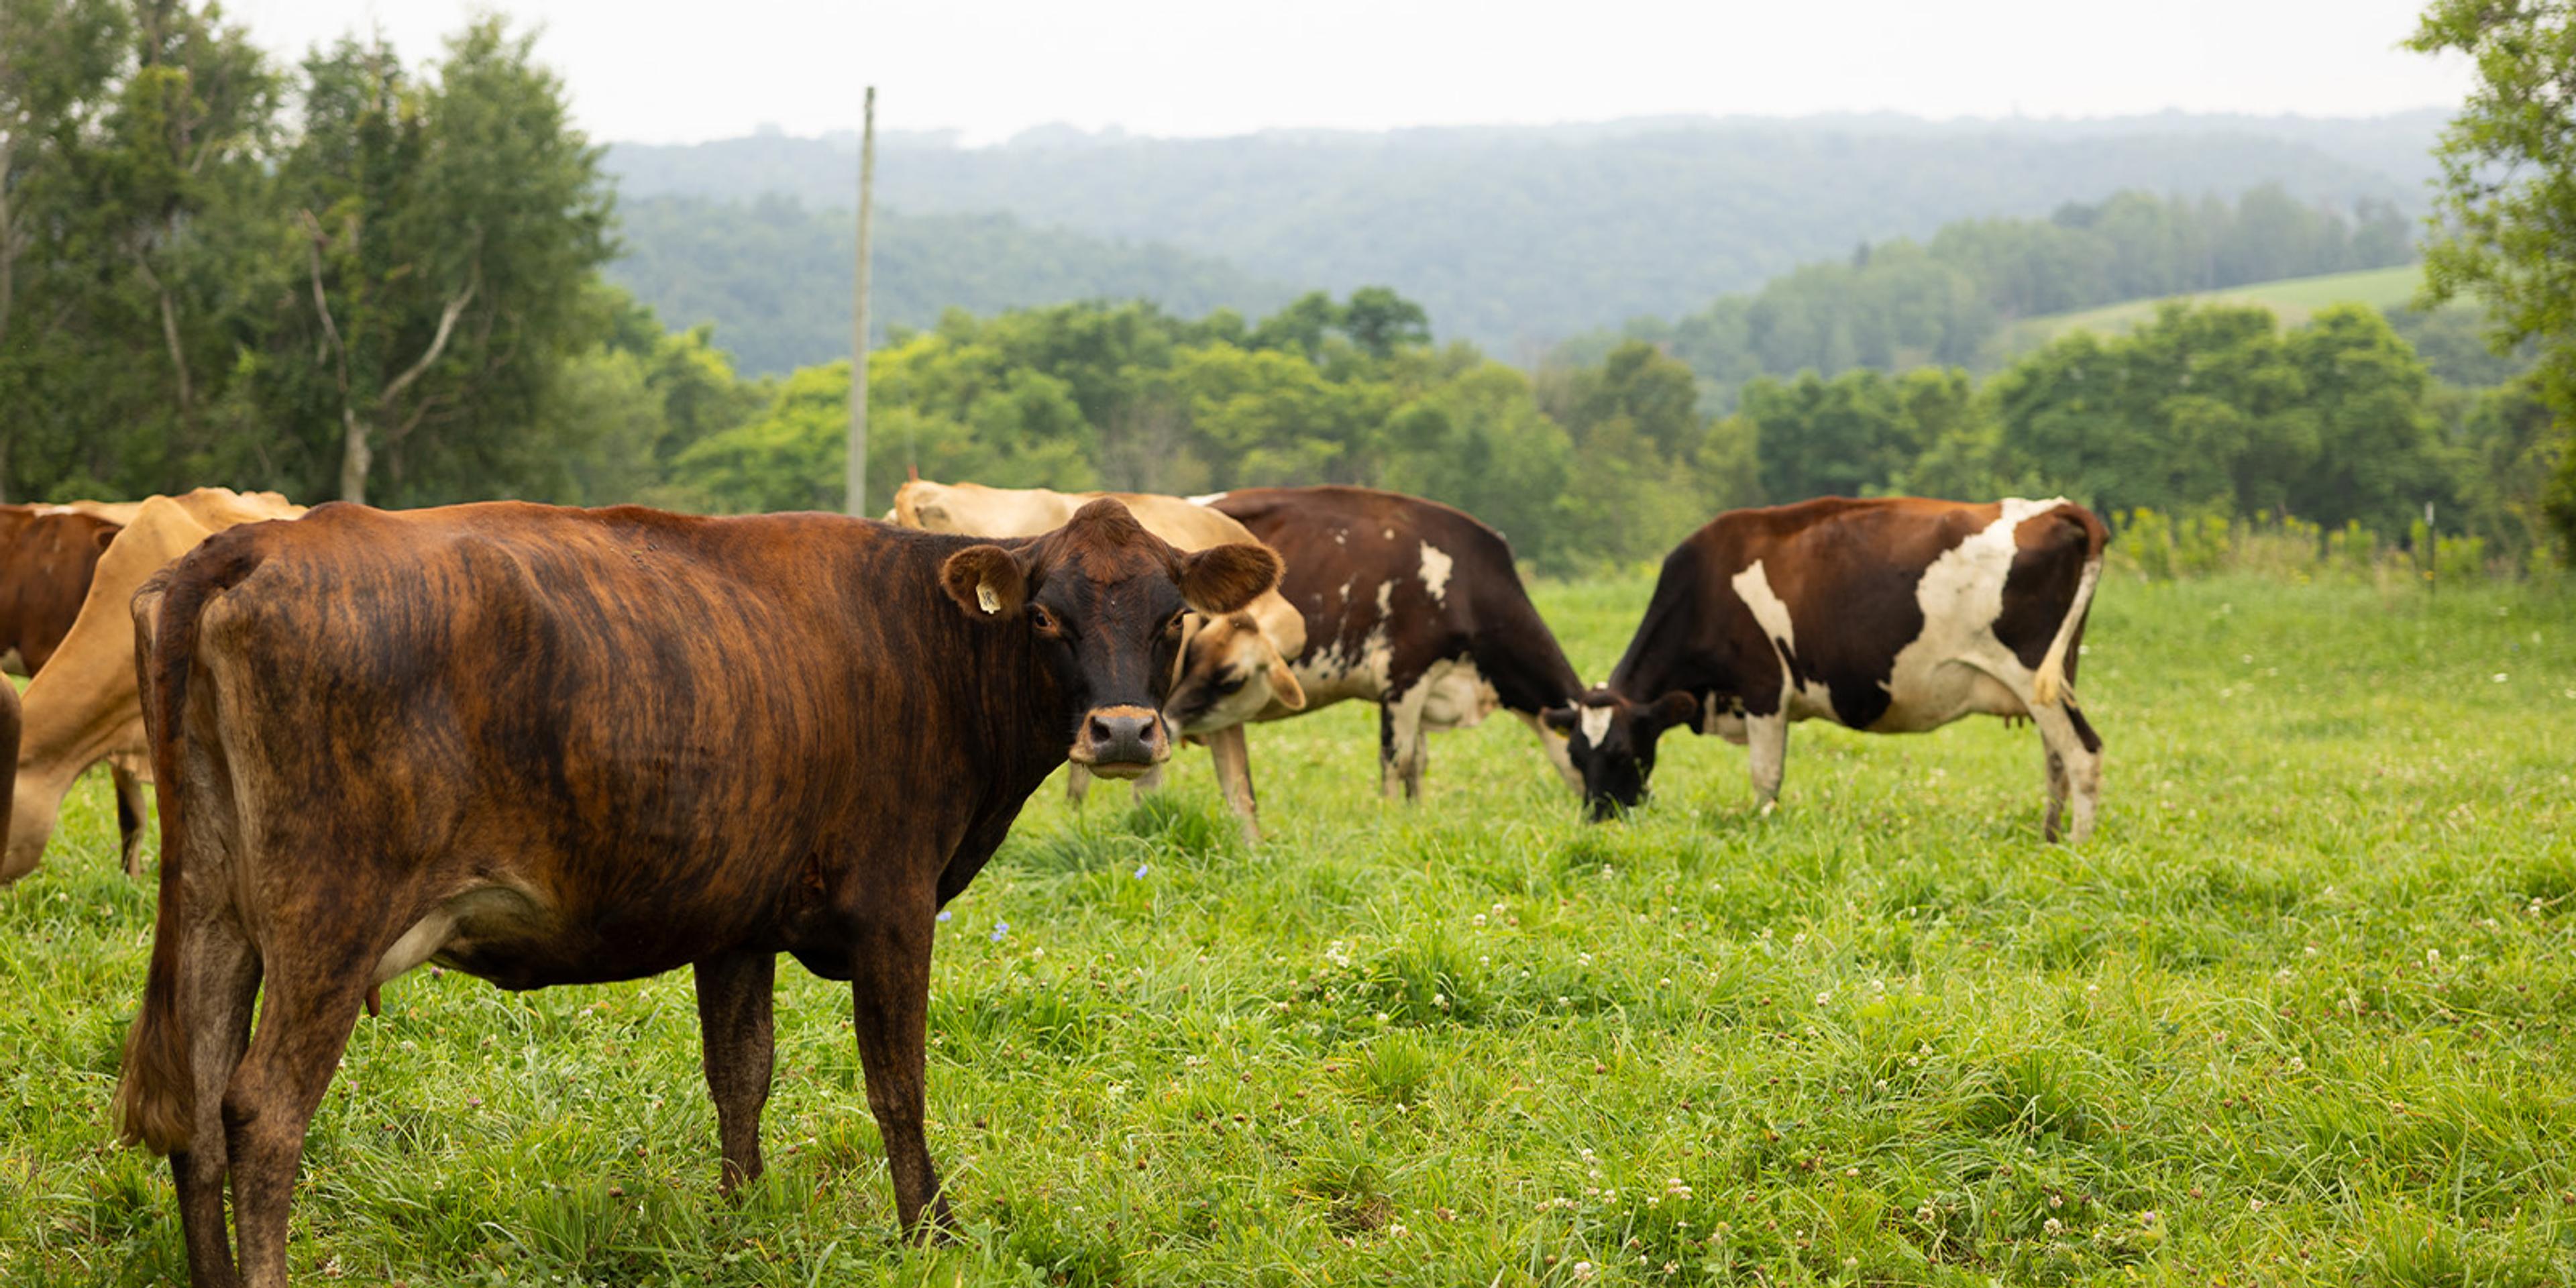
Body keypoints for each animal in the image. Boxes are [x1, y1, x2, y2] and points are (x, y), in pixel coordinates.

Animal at [115, 492, 1272, 1277]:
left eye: (1171, 616)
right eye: (1045, 615)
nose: (1122, 733)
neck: (926, 643)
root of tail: (254, 542)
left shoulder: (737, 920)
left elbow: (740, 1075)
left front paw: (739, 1220)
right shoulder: (894, 906)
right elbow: (897, 1084)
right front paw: (931, 1235)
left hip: (214, 908)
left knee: (200, 1107)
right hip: (330, 919)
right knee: (262, 1111)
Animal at [1200, 484, 1587, 793]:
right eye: (1598, 749)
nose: (1602, 815)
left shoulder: (1429, 684)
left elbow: (1417, 762)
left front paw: (1416, 815)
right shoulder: (1404, 676)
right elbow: (1395, 762)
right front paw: (1388, 818)